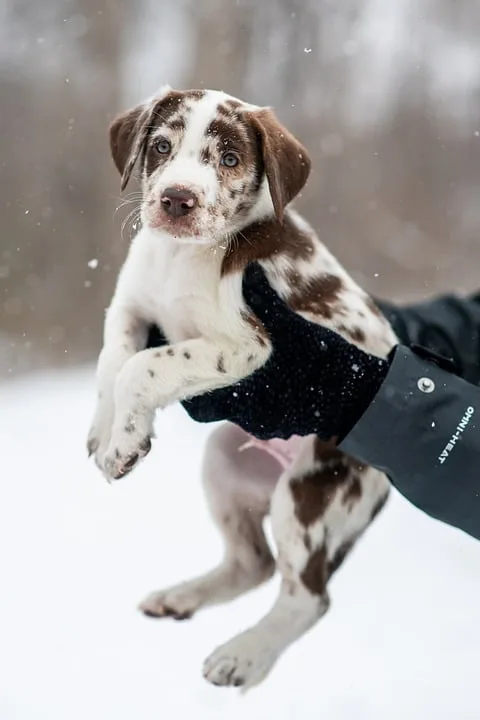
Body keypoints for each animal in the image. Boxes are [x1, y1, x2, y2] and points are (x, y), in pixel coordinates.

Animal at [86, 86, 398, 692]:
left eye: (229, 159)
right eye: (161, 147)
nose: (176, 200)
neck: (179, 258)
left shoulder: (248, 345)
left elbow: (144, 367)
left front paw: (123, 444)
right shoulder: (132, 306)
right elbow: (112, 361)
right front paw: (106, 432)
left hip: (310, 496)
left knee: (308, 597)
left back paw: (243, 656)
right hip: (223, 463)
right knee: (253, 563)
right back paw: (180, 597)